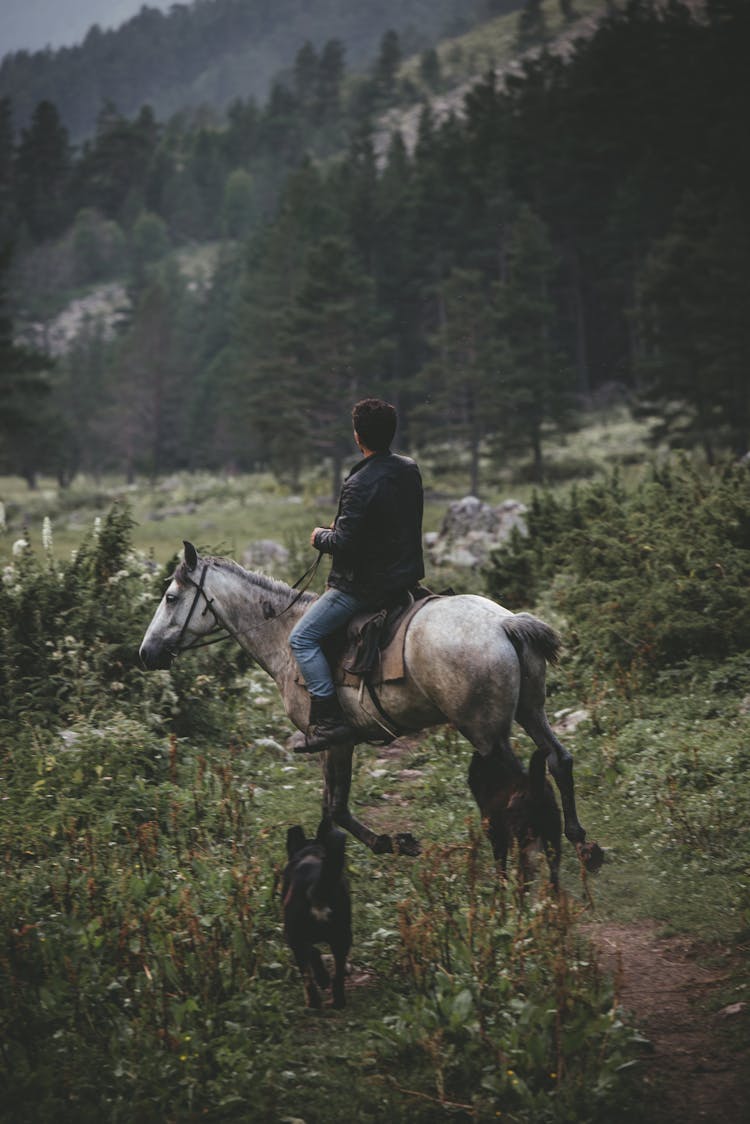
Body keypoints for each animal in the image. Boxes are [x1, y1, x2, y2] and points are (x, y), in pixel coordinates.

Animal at [137, 544, 602, 867]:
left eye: (171, 597)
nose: (146, 653)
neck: (284, 636)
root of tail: (505, 623)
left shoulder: (333, 741)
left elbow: (336, 808)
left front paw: (391, 843)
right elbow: (334, 808)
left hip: (487, 733)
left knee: (521, 784)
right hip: (530, 712)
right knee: (559, 759)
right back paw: (580, 841)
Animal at [283, 818, 353, 1011]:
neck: (311, 852)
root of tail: (316, 887)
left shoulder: (294, 937)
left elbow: (313, 952)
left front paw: (321, 977)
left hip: (295, 938)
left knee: (308, 979)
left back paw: (313, 1003)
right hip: (343, 937)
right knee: (338, 976)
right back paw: (338, 1002)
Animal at [470, 750, 562, 890]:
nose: (469, 779)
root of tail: (536, 790)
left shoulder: (497, 839)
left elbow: (500, 867)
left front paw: (500, 888)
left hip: (519, 841)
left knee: (523, 874)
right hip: (552, 839)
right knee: (554, 873)